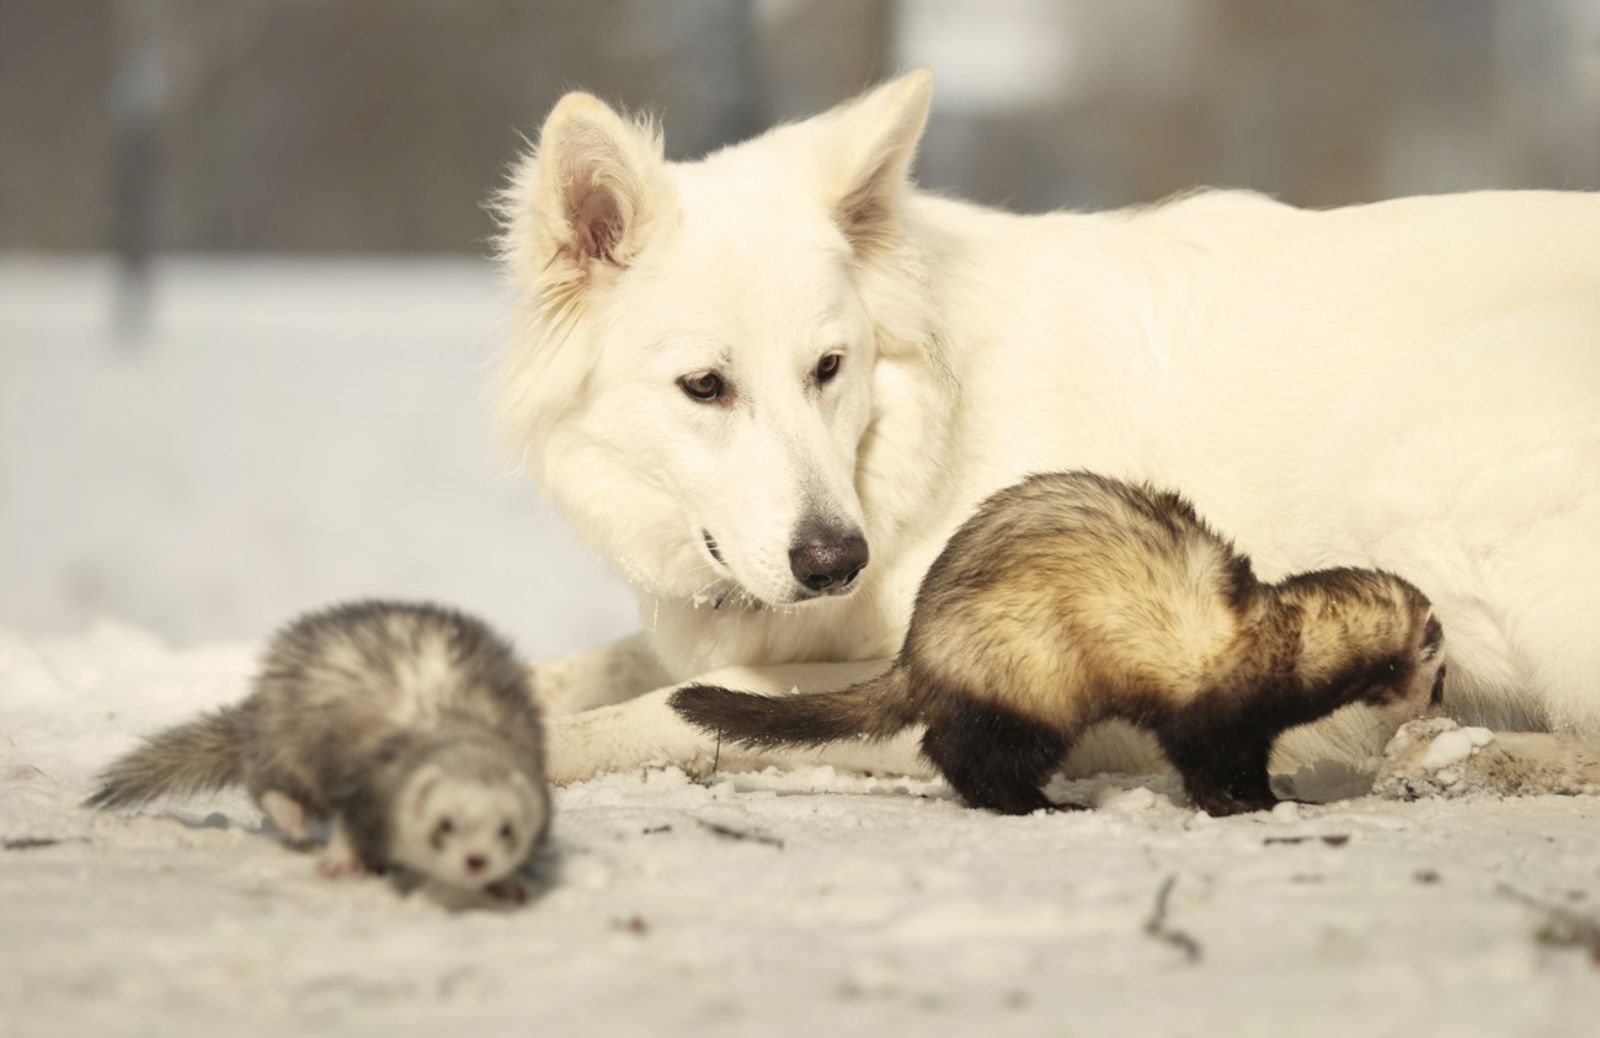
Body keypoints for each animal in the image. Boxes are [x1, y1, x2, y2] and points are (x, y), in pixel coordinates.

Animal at [492, 70, 1593, 786]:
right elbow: (602, 665)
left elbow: (696, 698)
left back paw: (1469, 755)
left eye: (828, 368)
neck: (911, 454)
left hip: (1410, 445)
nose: (835, 562)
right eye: (704, 386)